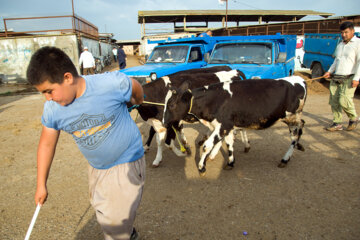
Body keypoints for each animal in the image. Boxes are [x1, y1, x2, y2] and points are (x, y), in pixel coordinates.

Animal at [163, 75, 306, 174]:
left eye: (172, 104)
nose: (164, 122)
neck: (215, 100)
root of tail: (299, 79)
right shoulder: (227, 126)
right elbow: (229, 143)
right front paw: (231, 163)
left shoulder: (223, 125)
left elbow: (206, 146)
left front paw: (201, 167)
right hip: (293, 118)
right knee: (301, 126)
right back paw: (298, 147)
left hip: (291, 118)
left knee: (296, 134)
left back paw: (285, 159)